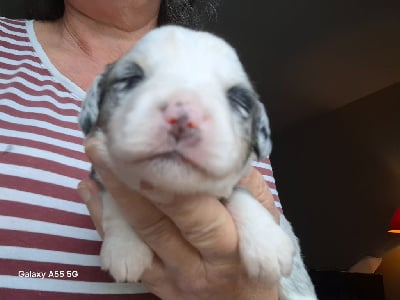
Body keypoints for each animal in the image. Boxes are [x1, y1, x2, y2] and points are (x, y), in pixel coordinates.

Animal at [79, 25, 316, 300]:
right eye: (131, 79)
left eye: (239, 100)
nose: (183, 117)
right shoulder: (101, 172)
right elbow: (116, 199)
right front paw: (124, 249)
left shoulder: (239, 179)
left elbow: (241, 194)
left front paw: (267, 243)